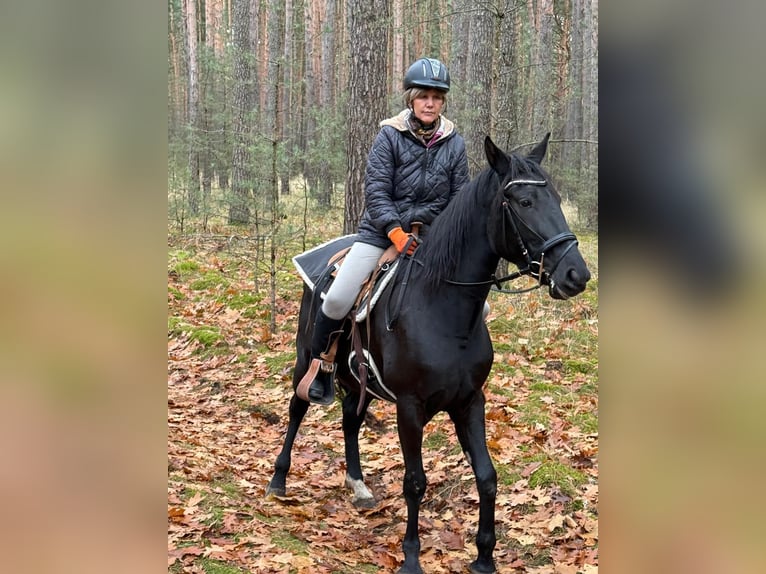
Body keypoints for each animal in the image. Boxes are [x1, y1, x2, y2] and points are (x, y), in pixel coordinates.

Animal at [266, 134, 591, 574]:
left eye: (556, 198)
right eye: (524, 202)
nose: (577, 274)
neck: (443, 309)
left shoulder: (469, 401)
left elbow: (487, 476)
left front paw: (484, 557)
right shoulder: (410, 406)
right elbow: (415, 481)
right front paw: (411, 556)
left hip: (360, 380)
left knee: (351, 419)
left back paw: (359, 485)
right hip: (308, 358)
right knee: (297, 407)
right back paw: (279, 480)